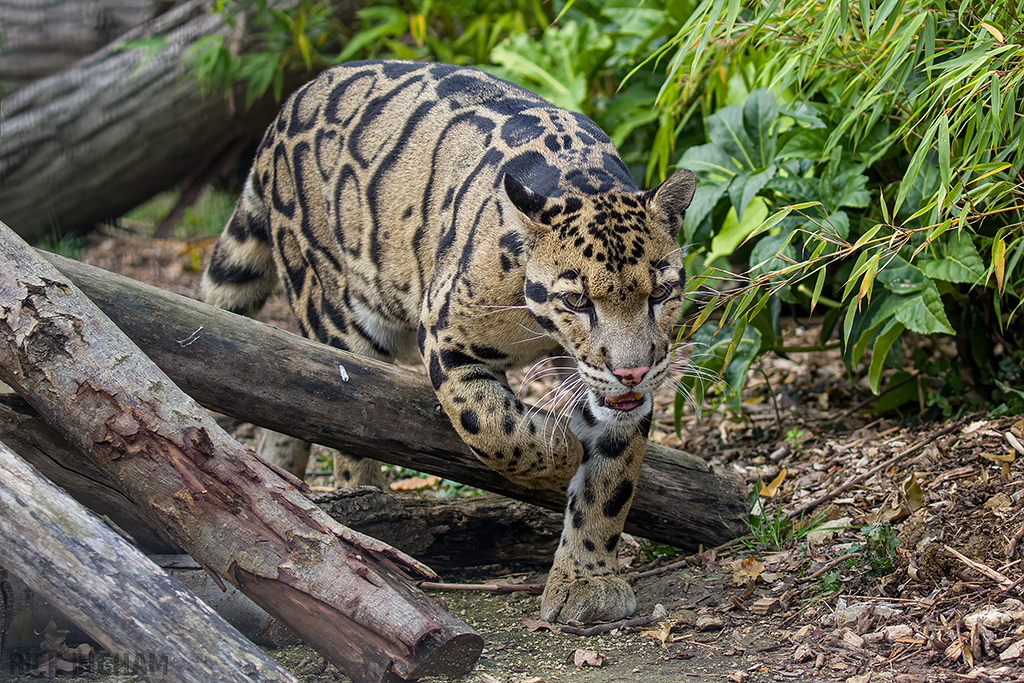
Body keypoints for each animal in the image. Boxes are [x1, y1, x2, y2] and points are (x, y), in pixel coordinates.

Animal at [200, 59, 696, 624]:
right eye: (576, 301)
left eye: (660, 293)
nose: (632, 370)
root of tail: (286, 106)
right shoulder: (445, 335)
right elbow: (497, 430)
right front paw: (562, 456)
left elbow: (611, 485)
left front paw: (586, 580)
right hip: (331, 306)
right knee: (341, 413)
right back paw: (367, 509)